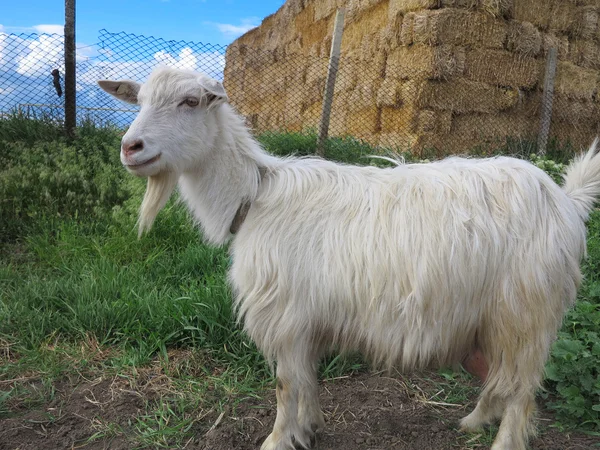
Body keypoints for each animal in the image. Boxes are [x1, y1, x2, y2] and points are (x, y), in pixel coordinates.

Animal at [98, 67, 600, 450]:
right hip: (496, 315)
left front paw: (277, 440)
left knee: (522, 390)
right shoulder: (306, 321)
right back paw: (473, 421)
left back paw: (502, 439)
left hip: (527, 312)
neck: (255, 197)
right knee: (500, 378)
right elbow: (306, 381)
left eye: (190, 101)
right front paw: (309, 428)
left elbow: (286, 385)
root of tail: (565, 200)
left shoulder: (285, 315)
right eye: (138, 99)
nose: (130, 148)